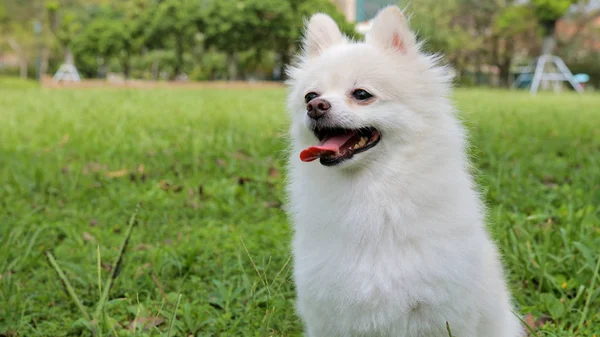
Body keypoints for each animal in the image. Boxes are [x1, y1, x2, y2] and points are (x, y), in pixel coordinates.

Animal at [284, 5, 524, 336]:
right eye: (309, 96)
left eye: (361, 94)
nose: (316, 106)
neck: (370, 193)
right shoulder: (330, 315)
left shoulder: (444, 315)